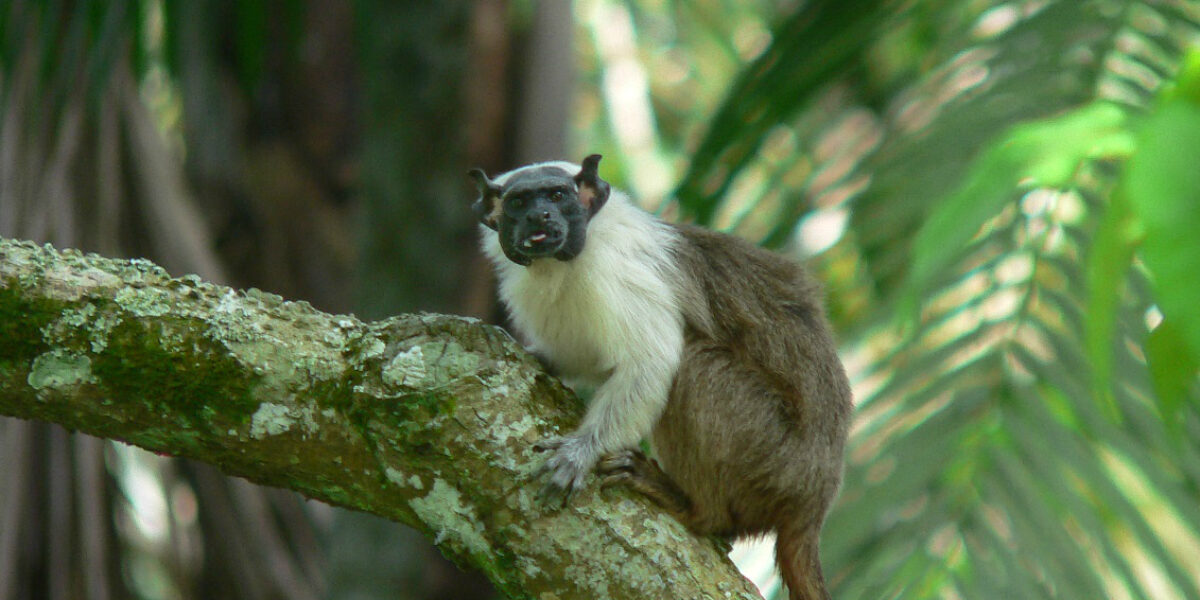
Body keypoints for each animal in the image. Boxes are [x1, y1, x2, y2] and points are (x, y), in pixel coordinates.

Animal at [468, 156, 854, 600]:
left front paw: (581, 452)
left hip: (773, 459)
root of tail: (813, 504)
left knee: (696, 366)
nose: (540, 216)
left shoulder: (615, 273)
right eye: (519, 203)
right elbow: (584, 358)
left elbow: (648, 363)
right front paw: (526, 353)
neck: (563, 263)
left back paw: (697, 510)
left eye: (557, 195)